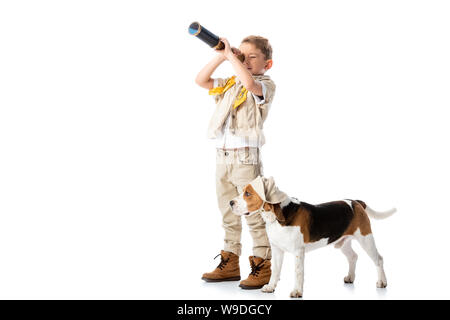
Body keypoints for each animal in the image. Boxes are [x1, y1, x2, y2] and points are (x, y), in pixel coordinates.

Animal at [230, 175, 396, 298]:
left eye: (248, 193)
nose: (230, 202)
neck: (277, 216)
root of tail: (355, 202)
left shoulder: (298, 252)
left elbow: (298, 273)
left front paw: (297, 292)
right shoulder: (277, 250)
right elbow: (275, 271)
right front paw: (270, 287)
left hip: (366, 239)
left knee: (379, 259)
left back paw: (382, 282)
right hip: (342, 242)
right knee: (353, 257)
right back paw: (350, 277)